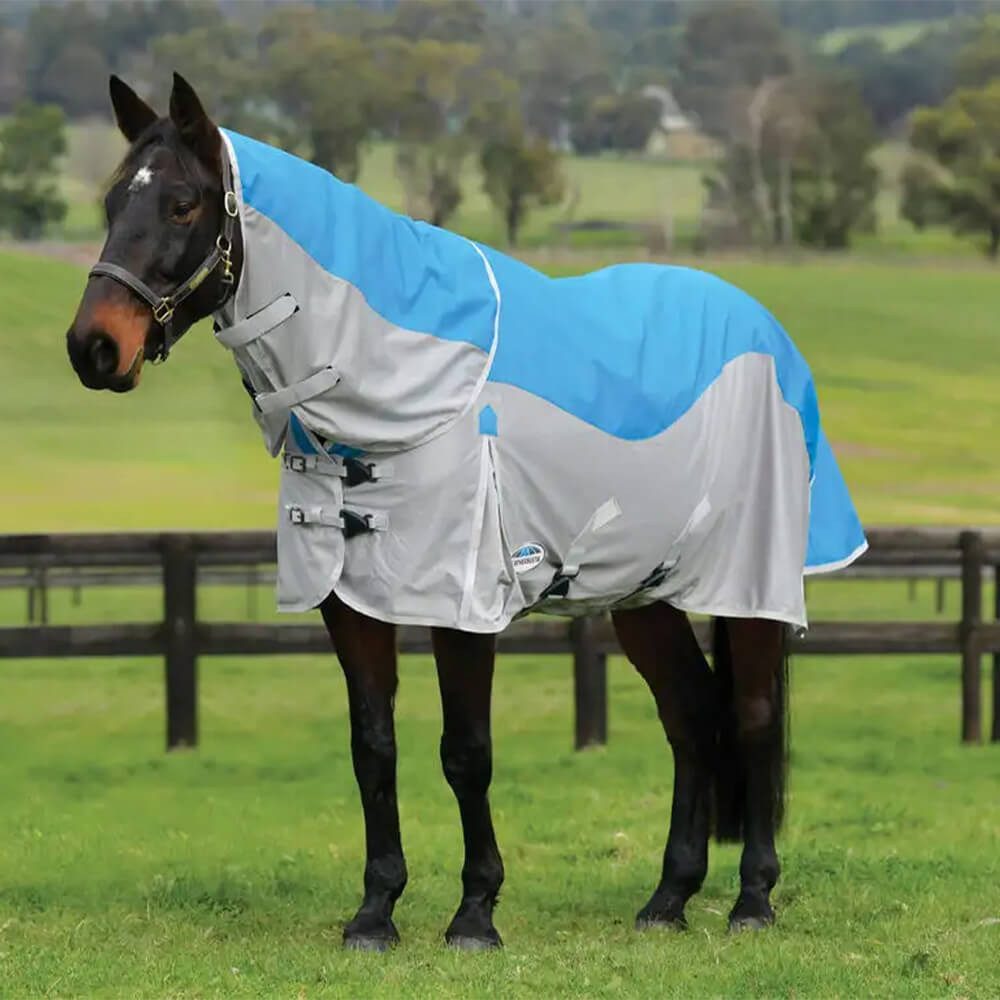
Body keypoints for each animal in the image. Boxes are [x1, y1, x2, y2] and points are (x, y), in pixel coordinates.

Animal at [65, 73, 867, 951]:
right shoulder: (348, 601)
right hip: (642, 593)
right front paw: (375, 912)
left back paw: (752, 900)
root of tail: (765, 332)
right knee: (689, 717)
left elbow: (466, 751)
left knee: (751, 717)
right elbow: (373, 748)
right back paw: (667, 900)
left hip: (749, 583)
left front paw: (475, 912)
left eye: (182, 203)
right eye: (113, 200)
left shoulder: (462, 599)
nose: (93, 348)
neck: (395, 386)